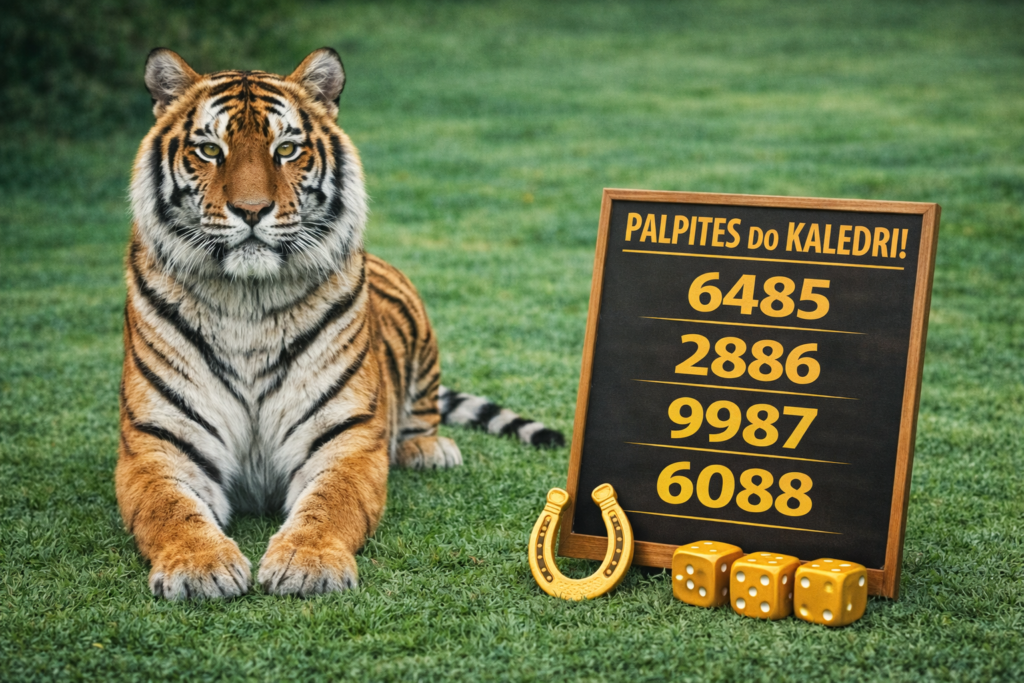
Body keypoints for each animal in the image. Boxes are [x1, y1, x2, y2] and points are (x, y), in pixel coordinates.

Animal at [117, 47, 564, 600]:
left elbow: (331, 504)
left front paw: (307, 564)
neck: (247, 301)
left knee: (423, 412)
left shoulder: (344, 439)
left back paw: (429, 449)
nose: (251, 210)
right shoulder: (156, 445)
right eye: (209, 150)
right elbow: (169, 509)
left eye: (286, 149)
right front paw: (199, 567)